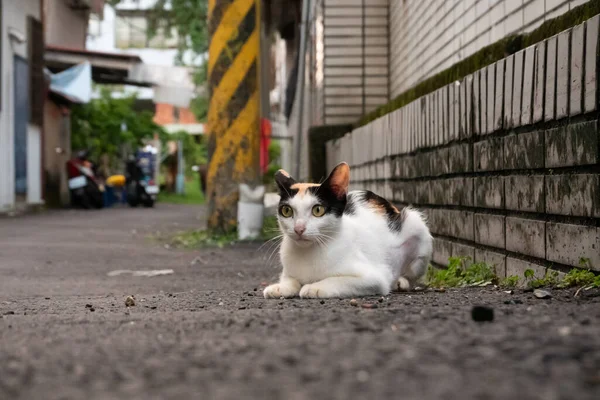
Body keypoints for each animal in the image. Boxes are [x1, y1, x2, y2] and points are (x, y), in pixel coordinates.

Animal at [262, 161, 432, 298]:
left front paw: (314, 288)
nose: (298, 228)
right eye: (287, 211)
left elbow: (338, 280)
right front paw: (280, 287)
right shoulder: (288, 270)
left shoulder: (375, 278)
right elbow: (290, 279)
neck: (308, 253)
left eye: (318, 210)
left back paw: (400, 282)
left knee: (411, 275)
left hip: (416, 229)